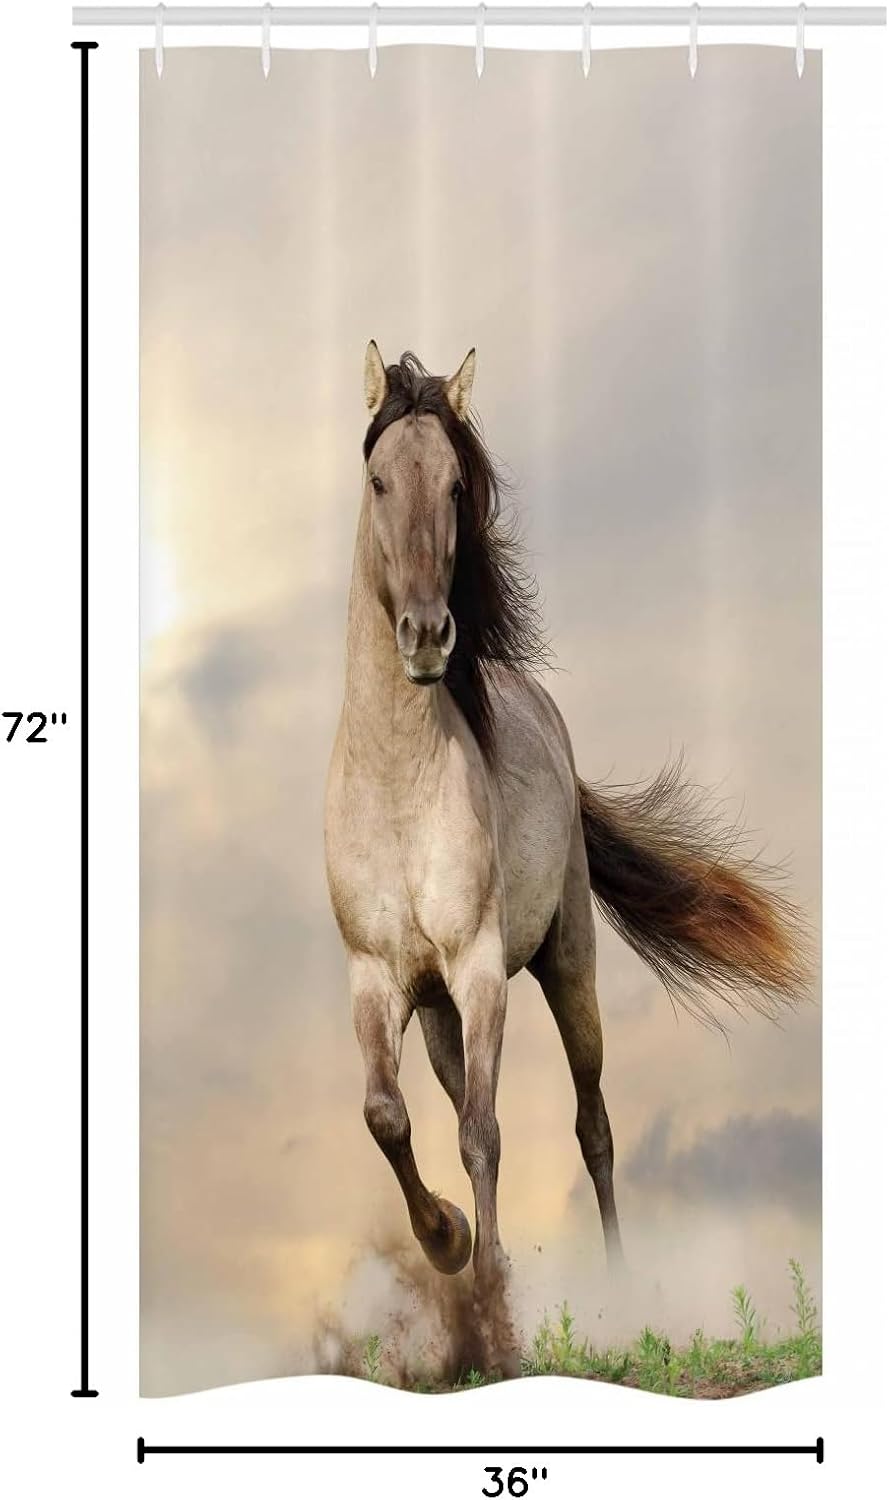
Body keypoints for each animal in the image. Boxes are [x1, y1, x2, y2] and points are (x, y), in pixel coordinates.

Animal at [324, 343, 807, 1363]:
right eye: (379, 480)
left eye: (455, 483)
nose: (427, 637)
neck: (394, 785)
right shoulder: (377, 979)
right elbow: (387, 1116)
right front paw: (448, 1239)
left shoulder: (479, 972)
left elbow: (484, 1135)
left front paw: (496, 1319)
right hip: (438, 1017)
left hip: (565, 964)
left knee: (593, 1127)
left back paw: (621, 1294)